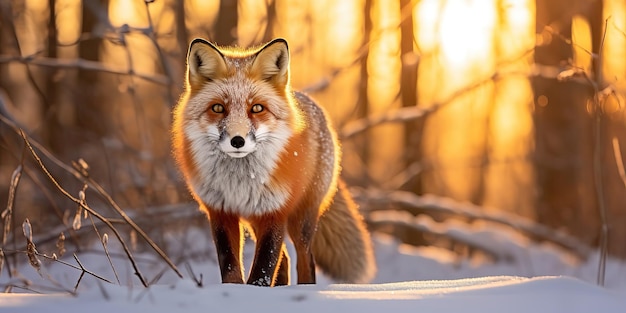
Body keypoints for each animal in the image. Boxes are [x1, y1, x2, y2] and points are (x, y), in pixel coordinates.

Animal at [171, 37, 376, 286]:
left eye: (257, 108)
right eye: (218, 108)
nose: (237, 141)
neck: (238, 183)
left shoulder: (275, 210)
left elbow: (263, 268)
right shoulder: (220, 211)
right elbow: (230, 266)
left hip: (300, 221)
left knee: (306, 259)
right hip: (254, 218)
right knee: (285, 258)